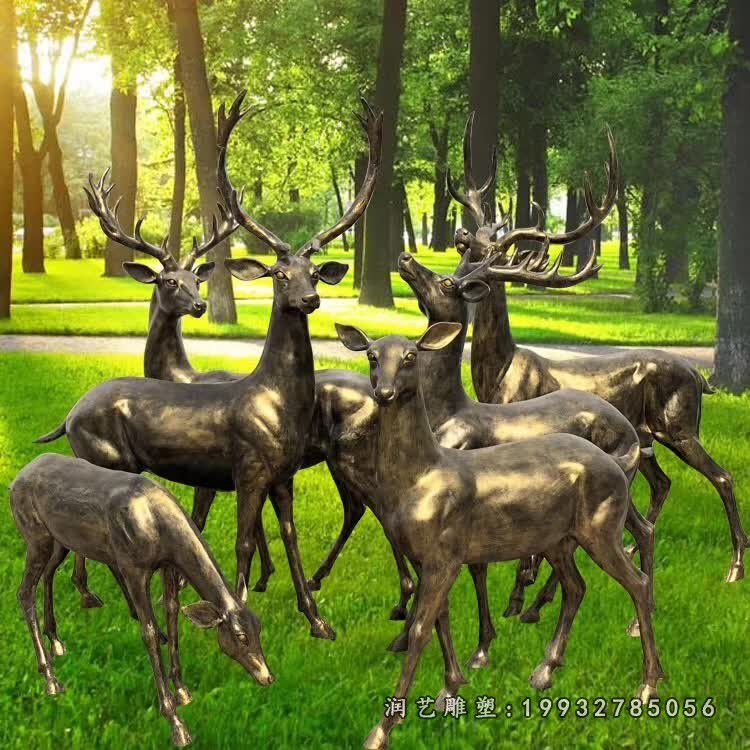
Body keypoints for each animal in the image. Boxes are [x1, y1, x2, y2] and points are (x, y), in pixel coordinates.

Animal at [11, 453, 272, 747]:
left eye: (259, 627)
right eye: (240, 636)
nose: (267, 676)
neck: (158, 526)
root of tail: (17, 479)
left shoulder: (168, 565)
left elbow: (172, 611)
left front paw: (182, 690)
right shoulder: (133, 567)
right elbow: (147, 632)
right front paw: (176, 723)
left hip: (60, 539)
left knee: (49, 575)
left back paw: (56, 642)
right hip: (35, 535)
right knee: (24, 591)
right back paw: (50, 678)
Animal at [34, 94, 381, 642]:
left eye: (312, 271)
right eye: (279, 273)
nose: (310, 299)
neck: (275, 402)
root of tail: (69, 415)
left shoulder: (280, 474)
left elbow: (286, 537)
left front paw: (316, 619)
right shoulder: (248, 467)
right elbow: (243, 540)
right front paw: (243, 609)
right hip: (104, 456)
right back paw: (106, 603)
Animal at [334, 322, 664, 750]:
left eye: (410, 356)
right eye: (372, 355)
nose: (384, 392)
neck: (420, 477)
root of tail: (620, 457)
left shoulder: (444, 555)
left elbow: (422, 628)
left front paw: (383, 728)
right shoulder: (430, 559)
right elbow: (441, 620)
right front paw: (451, 687)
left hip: (601, 526)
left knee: (635, 582)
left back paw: (648, 686)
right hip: (557, 539)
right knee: (577, 586)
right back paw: (544, 670)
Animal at [449, 114, 747, 585]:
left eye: (492, 255)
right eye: (469, 247)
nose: (457, 281)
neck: (500, 370)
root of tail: (699, 376)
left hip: (680, 425)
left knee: (723, 477)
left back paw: (734, 567)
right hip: (647, 436)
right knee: (664, 483)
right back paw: (638, 547)